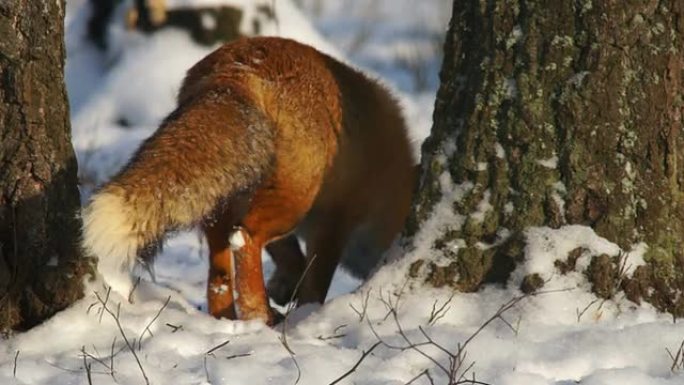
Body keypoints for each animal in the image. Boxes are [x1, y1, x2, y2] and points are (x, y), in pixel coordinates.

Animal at [80, 36, 412, 324]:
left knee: (220, 273)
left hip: (225, 199)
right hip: (295, 199)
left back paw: (228, 320)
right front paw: (306, 313)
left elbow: (292, 259)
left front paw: (285, 286)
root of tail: (238, 67)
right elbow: (315, 283)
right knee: (245, 238)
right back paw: (260, 315)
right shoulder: (336, 220)